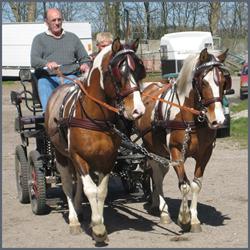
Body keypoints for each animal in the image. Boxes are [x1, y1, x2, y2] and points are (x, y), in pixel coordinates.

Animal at [45, 38, 146, 242]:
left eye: (140, 70)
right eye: (120, 72)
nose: (138, 110)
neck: (94, 119)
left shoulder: (106, 159)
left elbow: (101, 190)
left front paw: (97, 222)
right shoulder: (79, 157)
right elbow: (90, 190)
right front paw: (98, 228)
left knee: (77, 183)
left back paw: (79, 209)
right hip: (61, 156)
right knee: (67, 184)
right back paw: (73, 220)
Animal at [136, 48, 231, 232]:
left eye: (224, 82)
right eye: (204, 83)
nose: (219, 120)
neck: (191, 118)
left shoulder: (205, 153)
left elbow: (195, 185)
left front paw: (193, 219)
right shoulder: (176, 152)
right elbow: (184, 185)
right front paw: (184, 218)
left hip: (162, 153)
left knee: (159, 173)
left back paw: (157, 204)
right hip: (152, 149)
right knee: (156, 175)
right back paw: (163, 211)